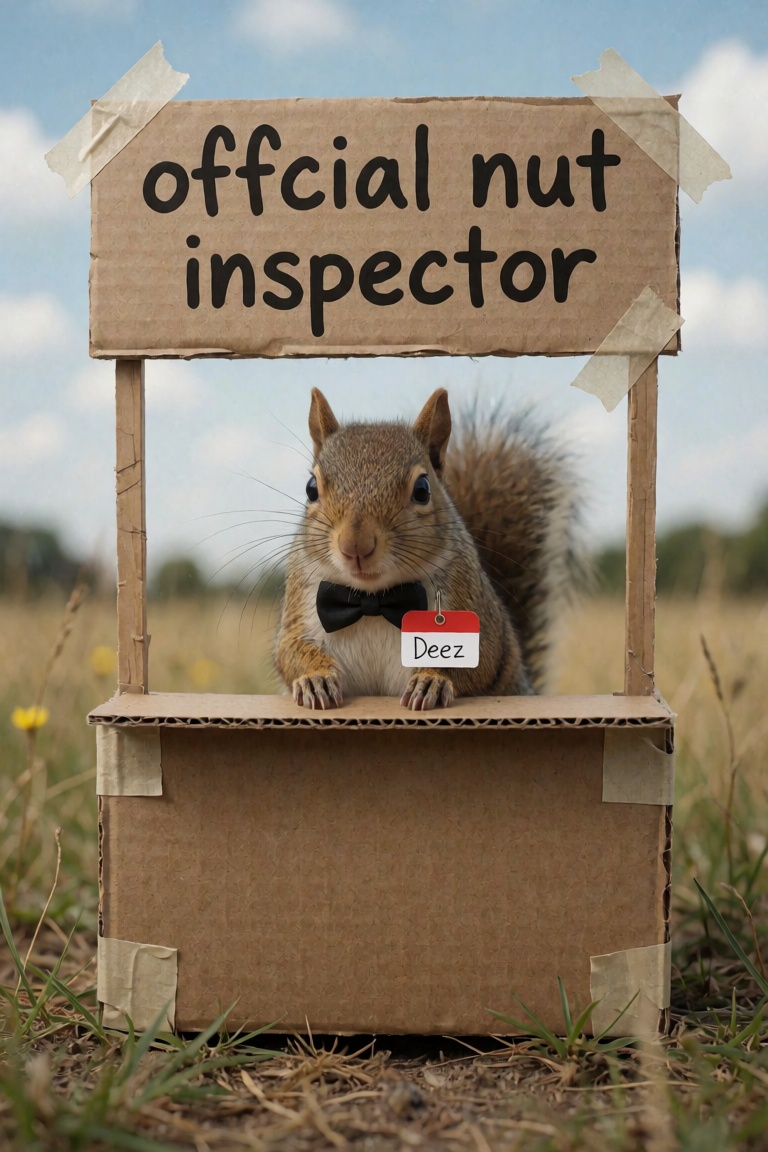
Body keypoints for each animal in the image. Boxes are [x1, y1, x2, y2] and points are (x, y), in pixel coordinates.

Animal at [274, 387, 584, 711]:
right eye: (311, 488)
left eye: (422, 490)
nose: (355, 544)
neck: (373, 601)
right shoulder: (301, 603)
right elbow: (290, 651)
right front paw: (315, 678)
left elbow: (478, 660)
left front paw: (430, 681)